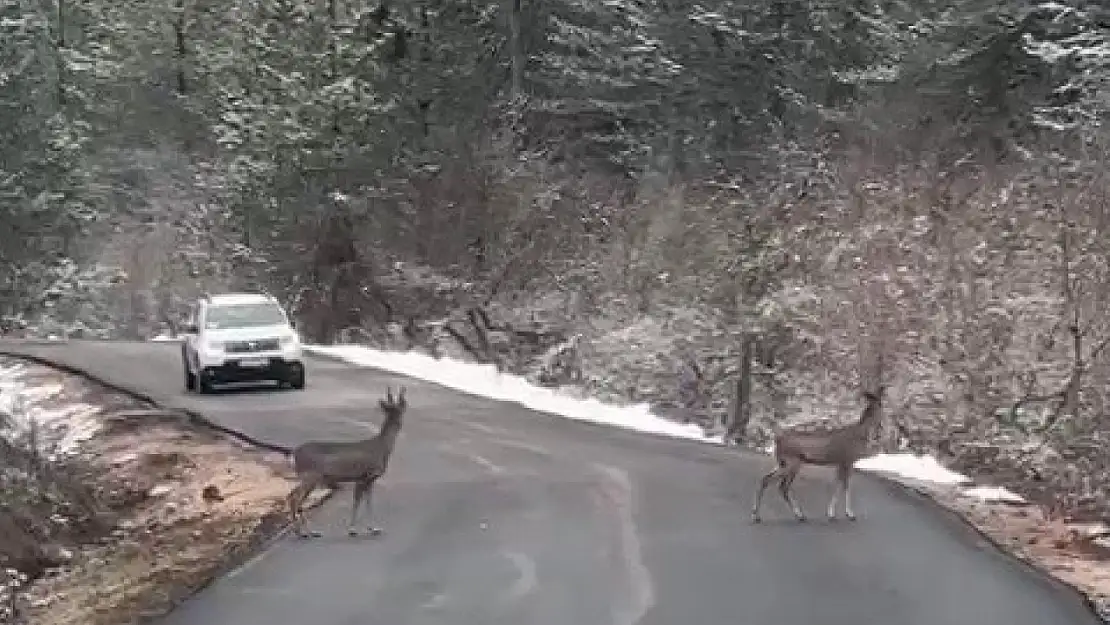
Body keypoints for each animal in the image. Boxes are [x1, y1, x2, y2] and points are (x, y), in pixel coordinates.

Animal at [286, 386, 408, 537]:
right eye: (399, 409)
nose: (399, 422)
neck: (381, 448)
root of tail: (294, 453)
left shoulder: (368, 479)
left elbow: (367, 503)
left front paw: (373, 528)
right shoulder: (364, 476)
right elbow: (358, 503)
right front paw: (353, 529)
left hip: (306, 477)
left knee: (291, 495)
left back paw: (301, 531)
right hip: (311, 476)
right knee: (296, 499)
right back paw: (307, 532)